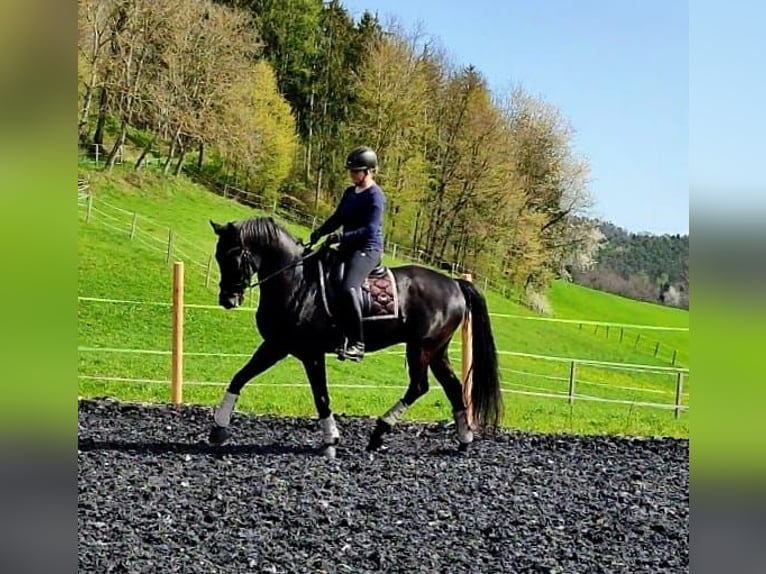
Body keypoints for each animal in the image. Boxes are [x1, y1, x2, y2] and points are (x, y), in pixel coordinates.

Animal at [207, 218, 504, 456]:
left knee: (419, 387)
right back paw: (464, 441)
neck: (298, 282)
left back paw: (379, 432)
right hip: (436, 351)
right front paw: (218, 429)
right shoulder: (277, 345)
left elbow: (321, 396)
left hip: (421, 348)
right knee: (452, 388)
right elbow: (240, 377)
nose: (228, 300)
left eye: (233, 256)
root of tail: (454, 283)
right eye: (218, 256)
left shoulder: (310, 353)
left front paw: (330, 441)